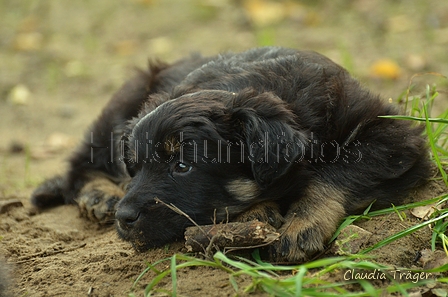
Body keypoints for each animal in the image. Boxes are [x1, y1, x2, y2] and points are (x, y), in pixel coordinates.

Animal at [31, 45, 430, 260]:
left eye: (182, 166)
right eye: (136, 167)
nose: (124, 219)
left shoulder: (393, 136)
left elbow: (334, 174)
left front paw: (301, 225)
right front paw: (256, 211)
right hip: (121, 103)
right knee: (81, 163)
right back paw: (101, 194)